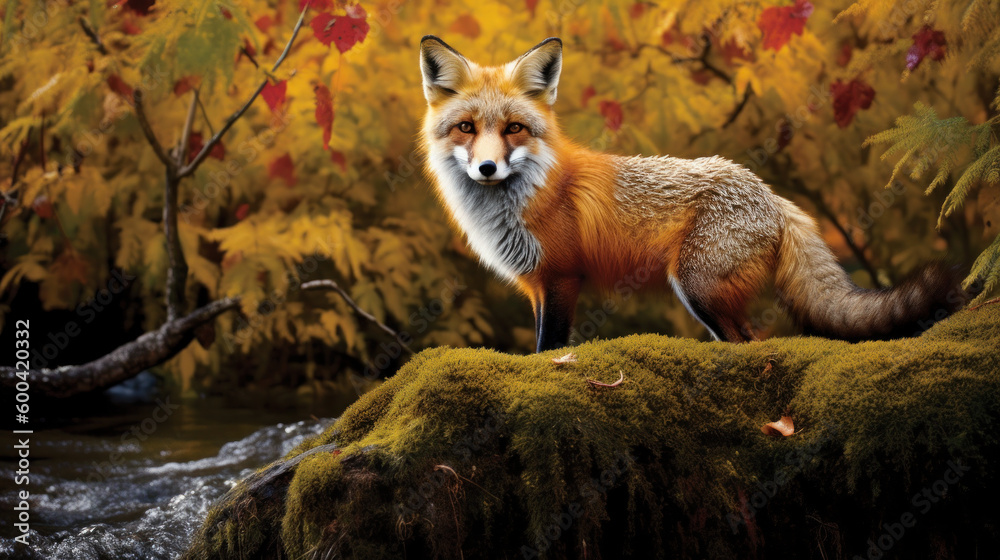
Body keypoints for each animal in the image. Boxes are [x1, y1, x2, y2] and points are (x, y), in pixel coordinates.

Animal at [418, 35, 967, 352]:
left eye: (514, 128)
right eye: (466, 128)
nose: (487, 168)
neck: (521, 200)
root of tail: (772, 195)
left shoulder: (562, 278)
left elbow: (549, 348)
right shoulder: (537, 285)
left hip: (696, 285)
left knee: (749, 343)